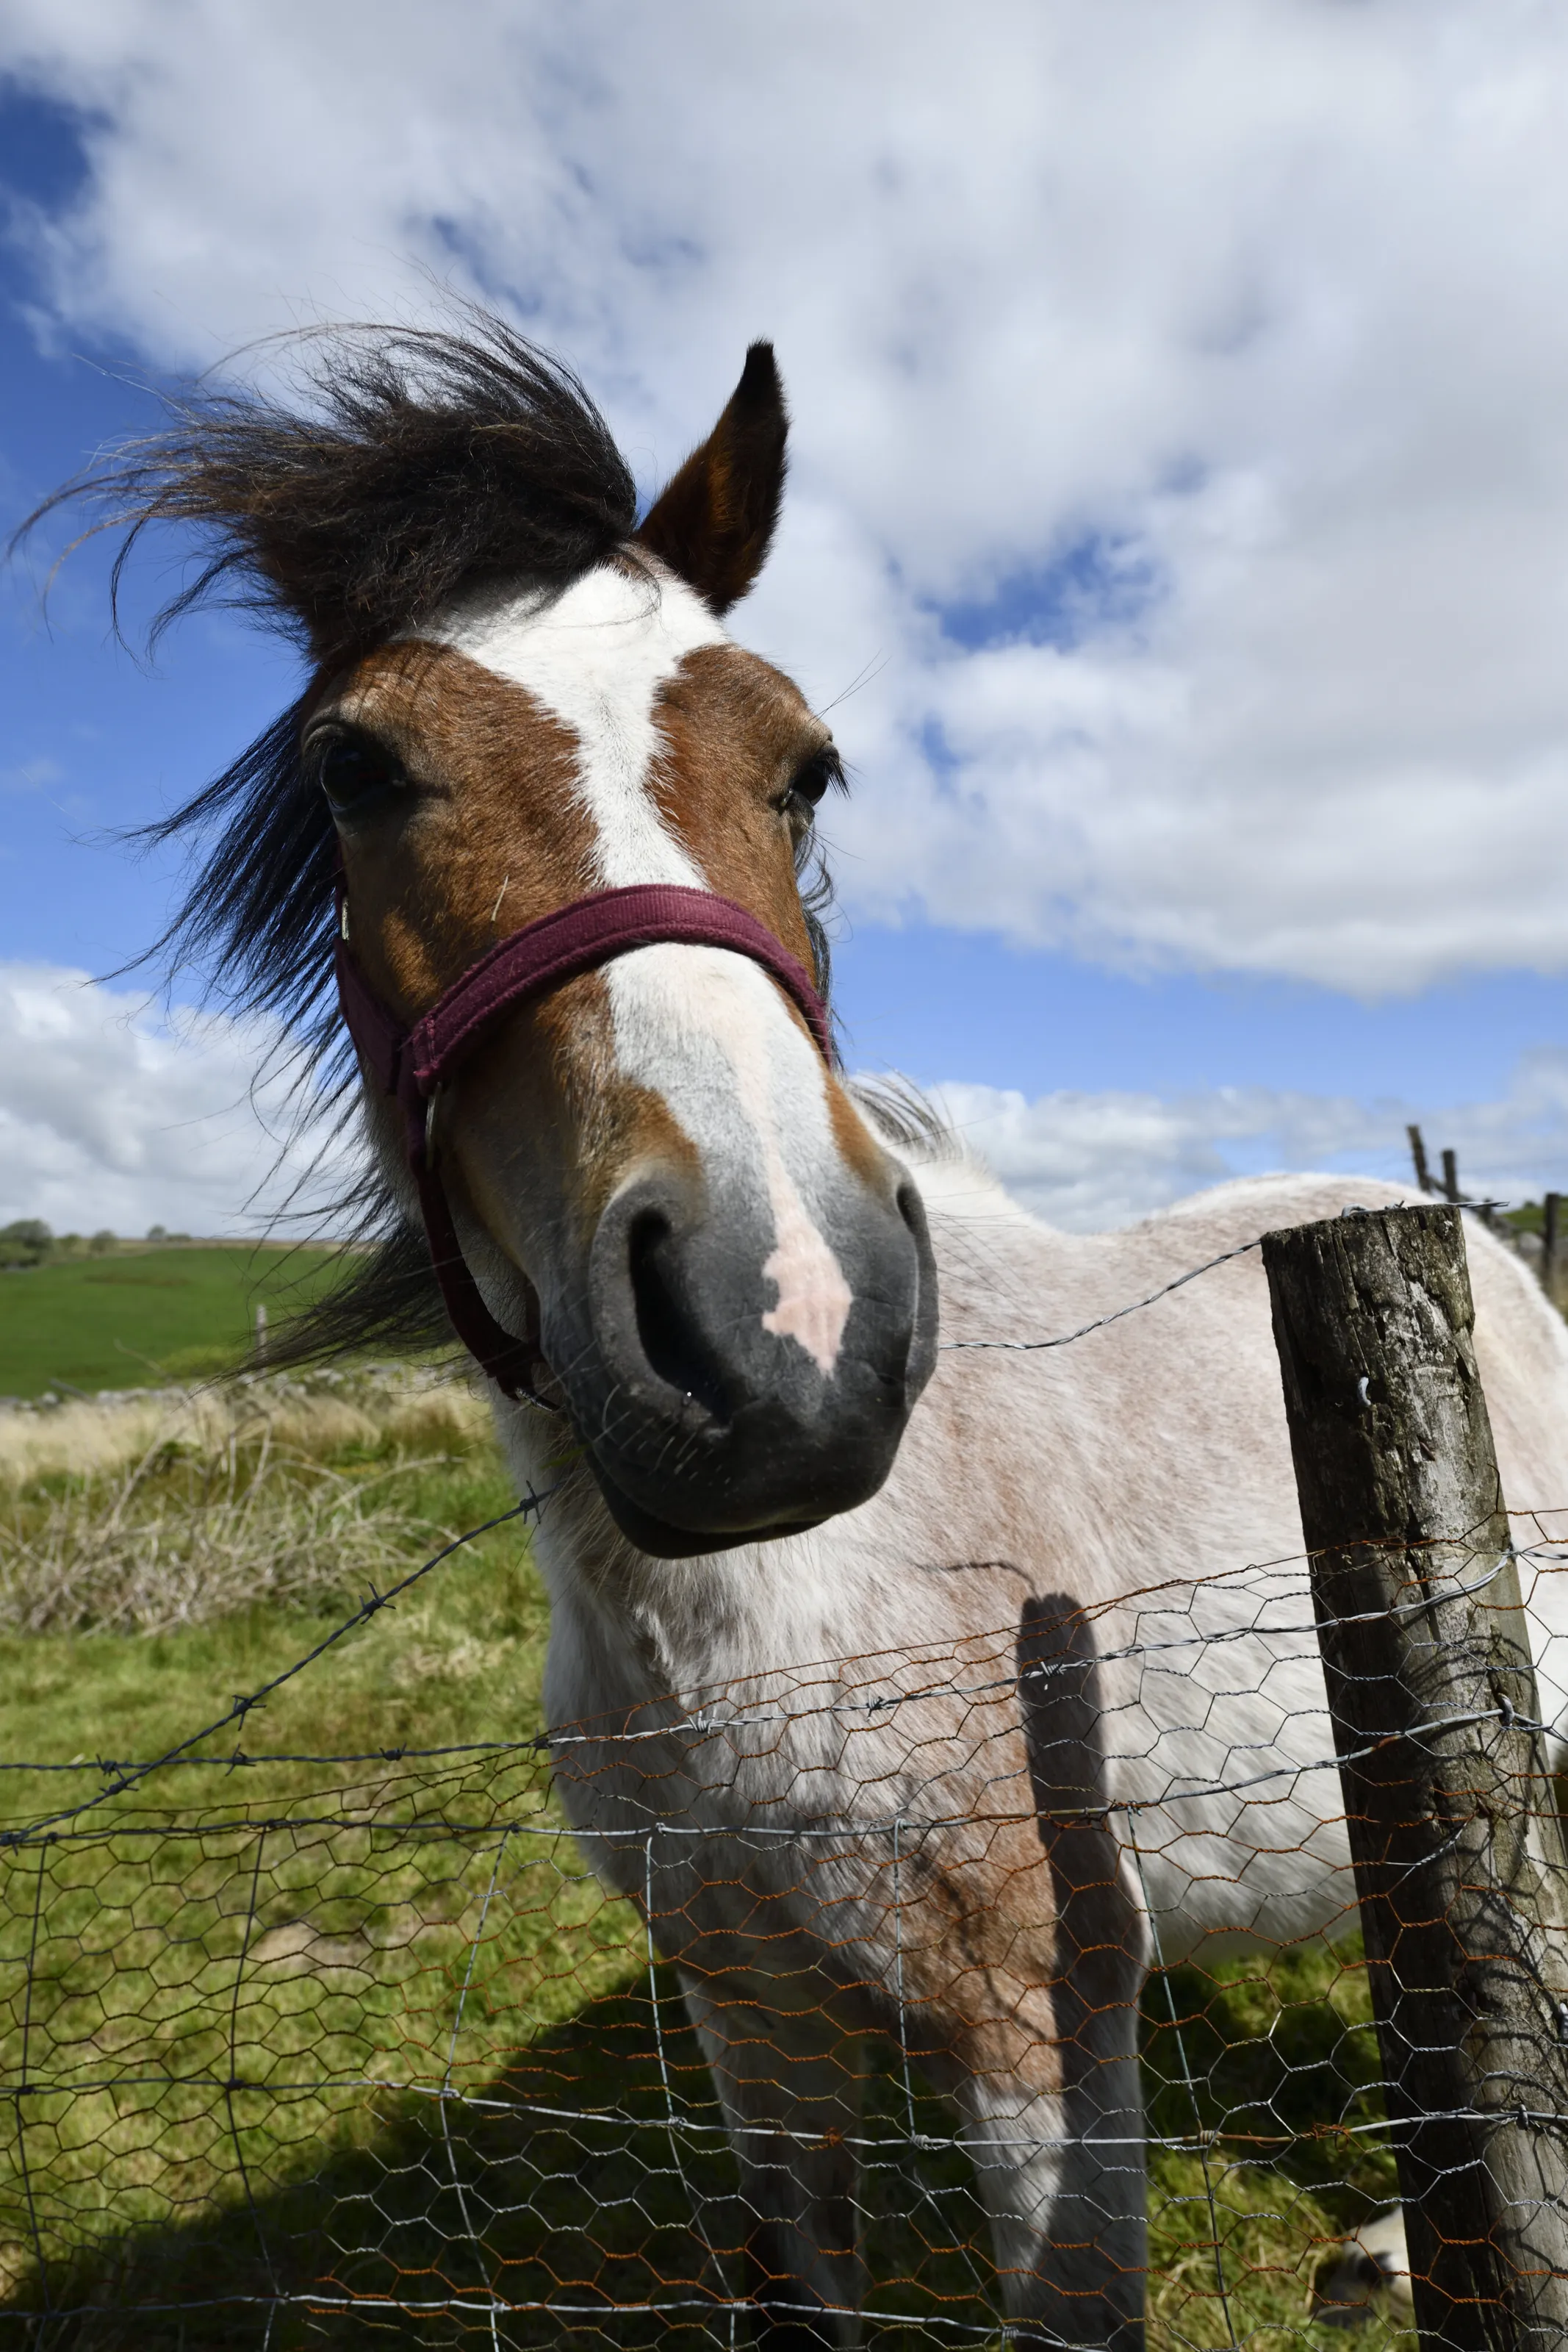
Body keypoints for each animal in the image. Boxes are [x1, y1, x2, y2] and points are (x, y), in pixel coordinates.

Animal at [35, 314, 1568, 2348]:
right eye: (354, 767)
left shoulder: (1035, 2043)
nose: (777, 1330)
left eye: (809, 769)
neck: (756, 1615)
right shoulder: (746, 2019)